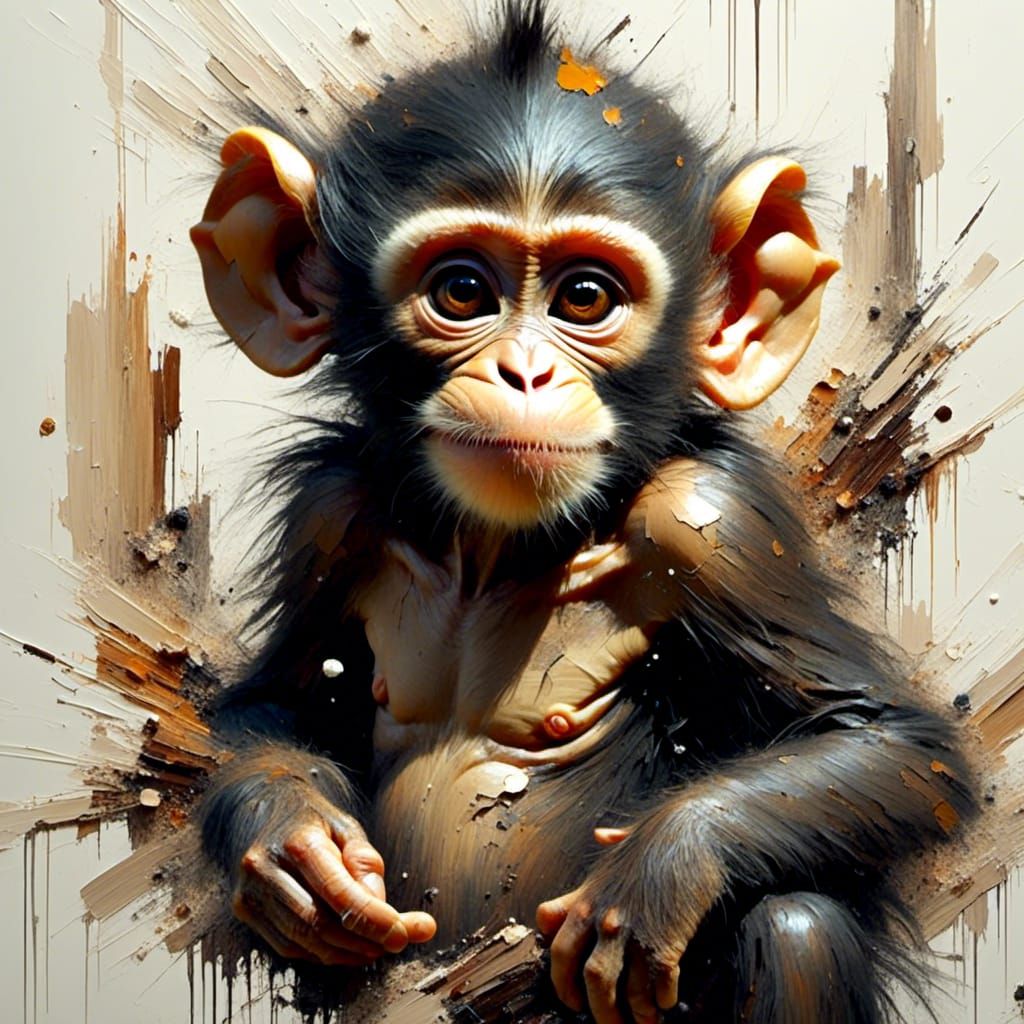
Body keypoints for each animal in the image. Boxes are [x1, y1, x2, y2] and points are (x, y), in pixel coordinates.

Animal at [191, 3, 974, 1021]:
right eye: (462, 290)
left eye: (586, 297)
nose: (525, 372)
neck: (497, 551)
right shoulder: (330, 517)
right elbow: (272, 705)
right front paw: (293, 841)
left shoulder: (712, 524)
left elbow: (890, 742)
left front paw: (660, 873)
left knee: (798, 924)